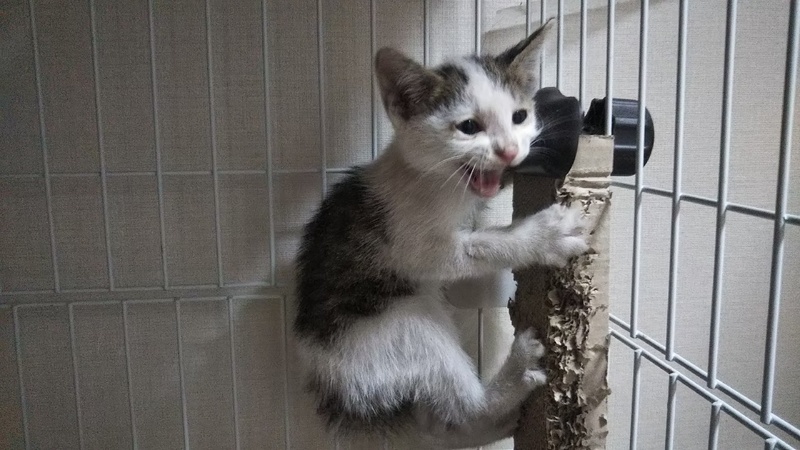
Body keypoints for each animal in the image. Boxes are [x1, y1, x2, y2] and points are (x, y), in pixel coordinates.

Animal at [293, 19, 588, 448]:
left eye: (519, 116)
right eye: (468, 127)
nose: (508, 151)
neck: (435, 180)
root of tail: (337, 391)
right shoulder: (415, 243)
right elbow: (480, 246)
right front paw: (544, 237)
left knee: (445, 423)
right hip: (399, 326)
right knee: (461, 404)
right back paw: (512, 376)